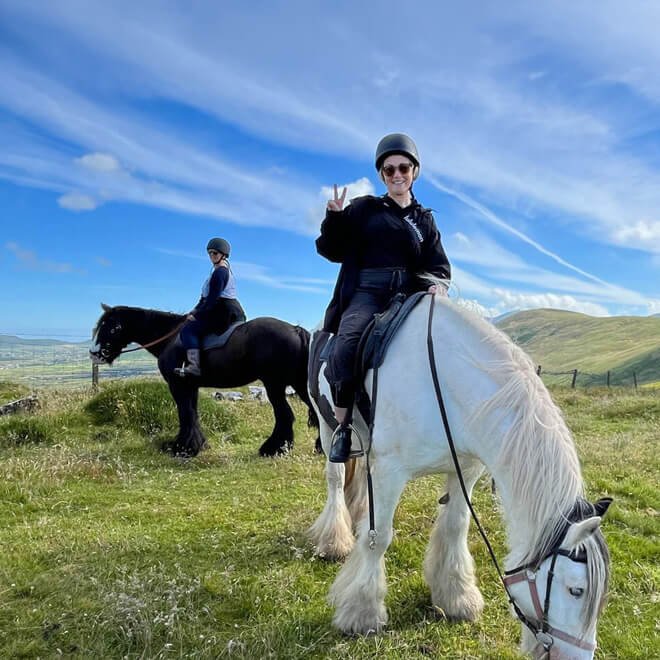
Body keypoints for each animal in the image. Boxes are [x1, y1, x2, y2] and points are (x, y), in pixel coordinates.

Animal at [91, 306, 320, 456]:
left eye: (113, 327)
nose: (96, 353)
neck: (168, 338)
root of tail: (295, 329)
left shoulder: (177, 385)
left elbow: (185, 414)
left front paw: (183, 448)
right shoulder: (190, 386)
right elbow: (192, 414)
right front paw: (195, 444)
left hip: (274, 384)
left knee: (285, 415)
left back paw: (273, 449)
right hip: (298, 383)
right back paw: (316, 447)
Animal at [310, 296, 612, 660]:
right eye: (576, 590)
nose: (578, 657)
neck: (447, 386)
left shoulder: (465, 469)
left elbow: (455, 527)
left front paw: (457, 596)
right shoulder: (390, 470)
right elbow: (379, 537)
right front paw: (361, 611)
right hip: (328, 427)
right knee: (335, 479)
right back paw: (334, 541)